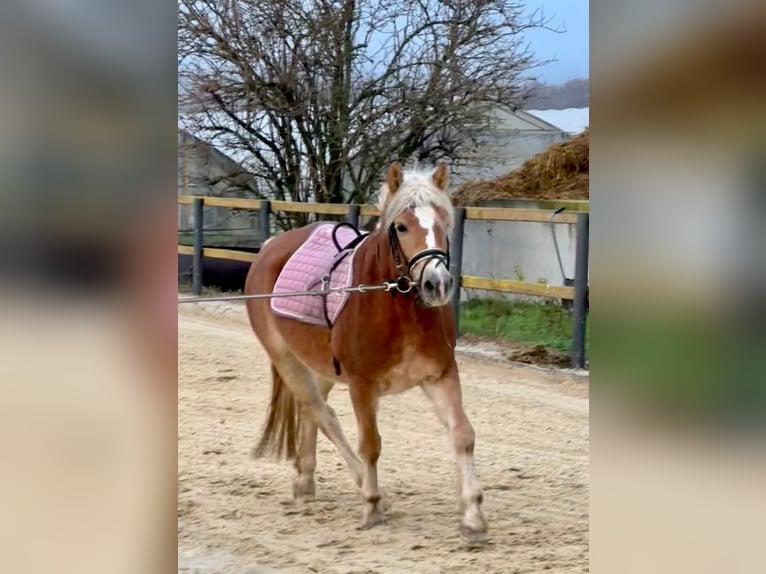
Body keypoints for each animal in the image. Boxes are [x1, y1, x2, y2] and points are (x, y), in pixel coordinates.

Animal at [243, 162, 488, 544]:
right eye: (401, 226)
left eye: (444, 223)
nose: (437, 284)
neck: (396, 305)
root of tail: (271, 246)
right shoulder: (362, 385)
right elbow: (370, 444)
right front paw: (372, 506)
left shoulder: (441, 374)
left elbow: (463, 435)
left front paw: (473, 516)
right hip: (286, 360)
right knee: (322, 413)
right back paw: (366, 489)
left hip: (320, 367)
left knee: (313, 412)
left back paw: (305, 478)